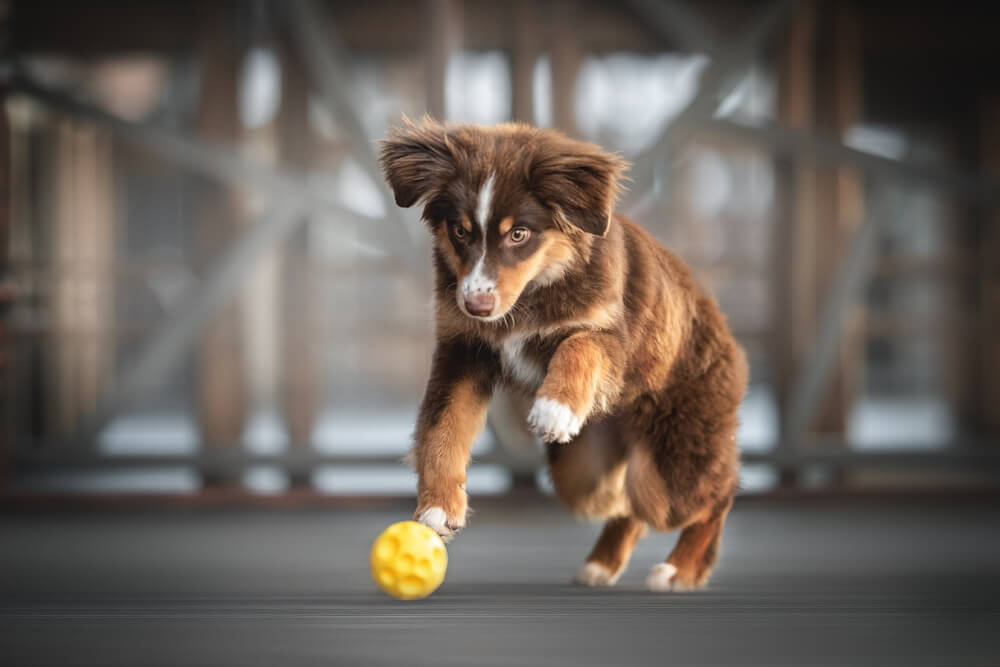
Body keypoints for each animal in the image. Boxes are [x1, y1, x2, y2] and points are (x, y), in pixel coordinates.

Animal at [378, 118, 748, 588]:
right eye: (460, 231)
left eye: (519, 234)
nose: (476, 305)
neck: (536, 287)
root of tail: (730, 342)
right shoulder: (462, 350)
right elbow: (444, 427)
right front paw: (439, 506)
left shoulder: (611, 337)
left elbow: (578, 344)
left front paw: (555, 407)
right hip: (583, 472)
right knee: (626, 506)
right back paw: (602, 563)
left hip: (673, 462)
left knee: (712, 500)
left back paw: (680, 570)